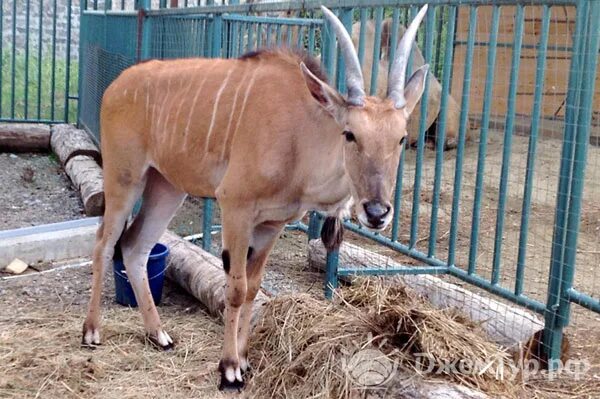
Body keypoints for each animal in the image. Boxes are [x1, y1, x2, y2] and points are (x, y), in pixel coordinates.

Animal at [83, 4, 432, 392]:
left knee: (135, 247)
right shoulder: (235, 207)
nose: (376, 212)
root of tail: (117, 86)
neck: (299, 134)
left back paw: (158, 334)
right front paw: (229, 369)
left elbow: (253, 288)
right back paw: (92, 332)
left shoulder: (272, 223)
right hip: (124, 178)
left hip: (166, 187)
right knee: (104, 243)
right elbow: (235, 289)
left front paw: (245, 360)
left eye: (400, 138)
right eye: (350, 133)